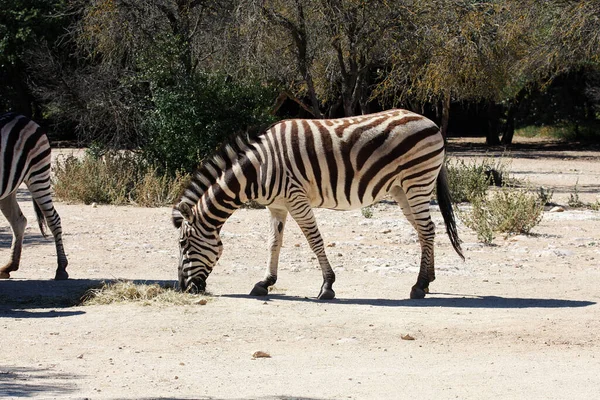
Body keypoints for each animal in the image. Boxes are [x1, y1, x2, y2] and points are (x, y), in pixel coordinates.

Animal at [0, 112, 68, 280]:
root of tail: (22, 116)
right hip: (8, 190)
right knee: (18, 221)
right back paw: (9, 266)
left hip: (38, 175)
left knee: (53, 219)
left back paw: (61, 268)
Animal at [173, 108, 464, 298]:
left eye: (183, 244)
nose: (184, 288)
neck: (258, 170)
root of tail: (431, 123)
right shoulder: (277, 205)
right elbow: (274, 243)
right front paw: (265, 283)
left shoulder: (295, 197)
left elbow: (315, 240)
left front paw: (327, 286)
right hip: (401, 189)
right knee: (426, 231)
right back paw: (428, 281)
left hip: (417, 181)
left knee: (426, 230)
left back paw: (419, 286)